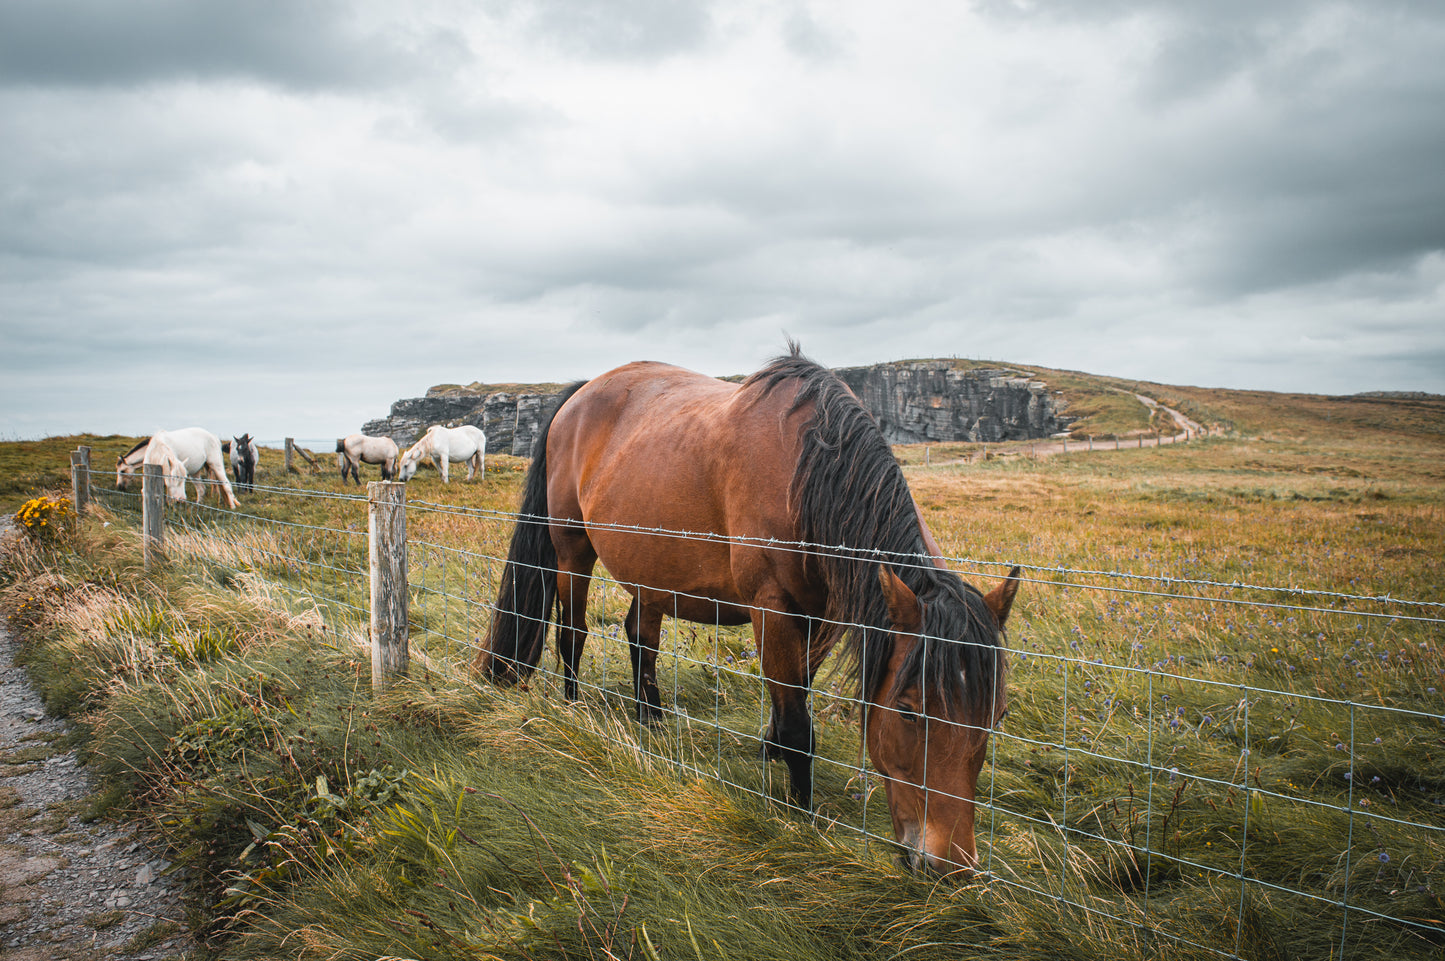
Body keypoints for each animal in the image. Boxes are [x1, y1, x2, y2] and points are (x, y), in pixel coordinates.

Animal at [478, 344, 1019, 876]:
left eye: (997, 714)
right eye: (909, 711)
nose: (952, 866)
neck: (805, 474)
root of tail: (580, 395)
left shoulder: (817, 617)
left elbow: (796, 692)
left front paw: (770, 749)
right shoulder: (772, 607)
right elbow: (799, 724)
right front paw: (799, 813)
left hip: (650, 570)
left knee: (640, 637)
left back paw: (651, 720)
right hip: (572, 553)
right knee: (572, 635)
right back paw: (573, 708)